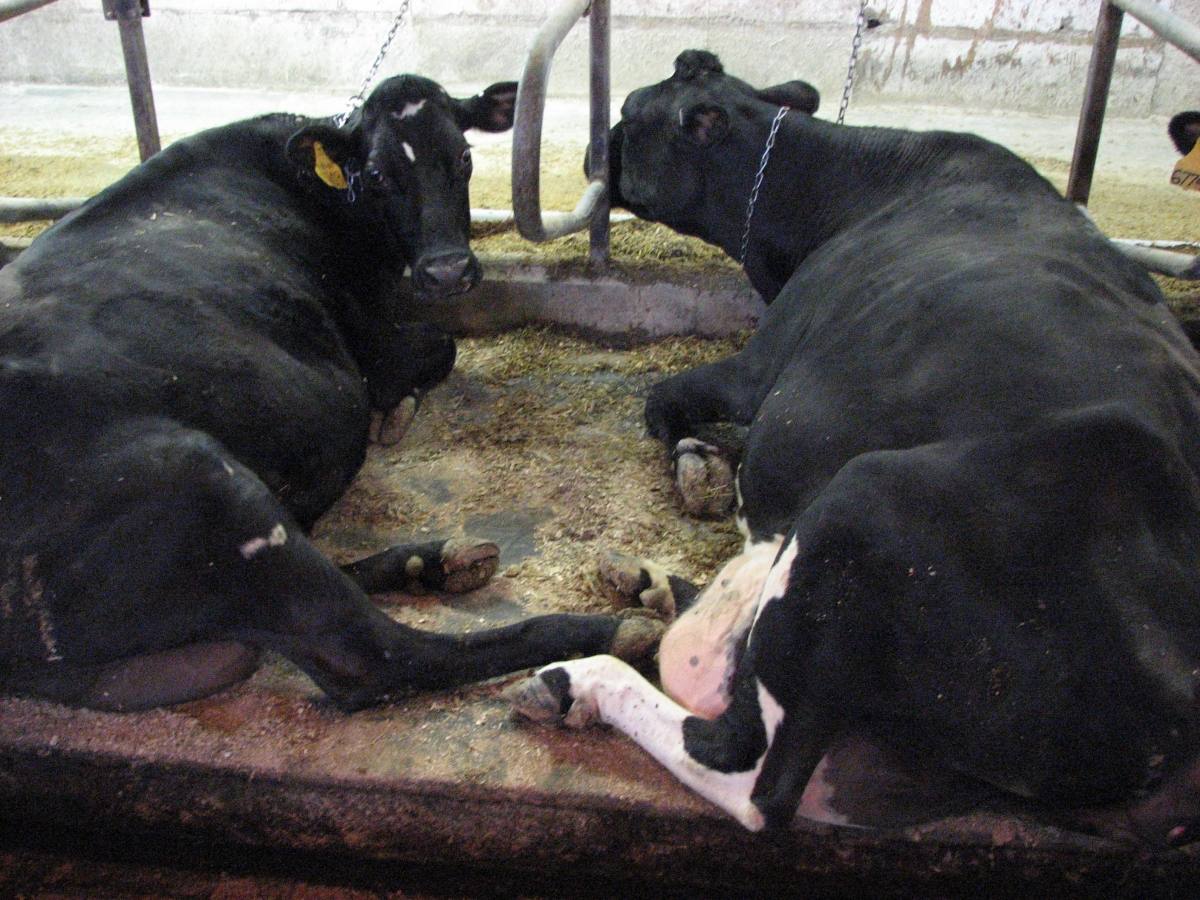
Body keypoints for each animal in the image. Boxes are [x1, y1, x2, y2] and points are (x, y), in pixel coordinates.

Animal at [0, 73, 660, 715]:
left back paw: (433, 561)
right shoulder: (373, 342)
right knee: (376, 659)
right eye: (377, 176)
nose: (447, 271)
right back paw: (606, 635)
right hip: (200, 480)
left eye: (464, 157)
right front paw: (397, 412)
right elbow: (440, 348)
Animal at [508, 50, 1200, 847]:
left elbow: (665, 404)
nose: (598, 149)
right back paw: (649, 586)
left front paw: (696, 464)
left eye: (629, 112)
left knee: (754, 775)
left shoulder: (760, 366)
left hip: (862, 501)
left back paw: (581, 679)